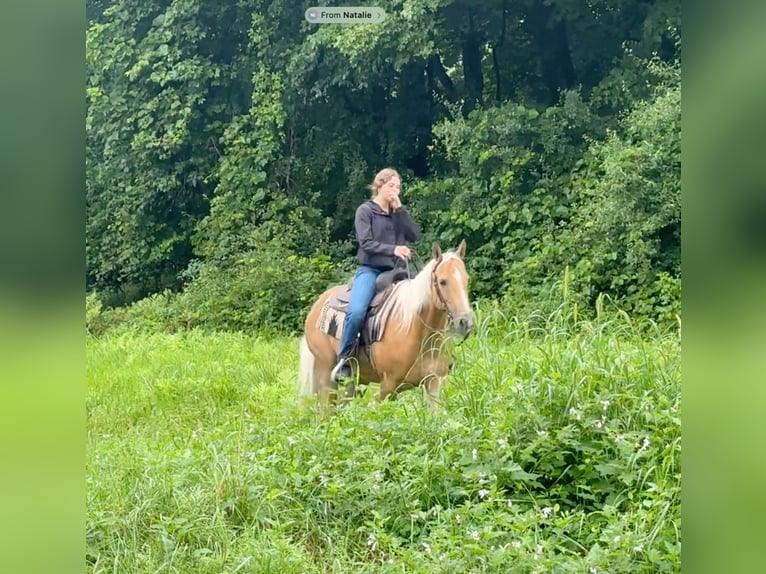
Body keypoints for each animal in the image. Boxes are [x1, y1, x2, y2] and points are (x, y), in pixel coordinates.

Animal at [298, 241, 474, 416]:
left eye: (467, 280)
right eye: (443, 281)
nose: (465, 322)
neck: (416, 332)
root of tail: (318, 303)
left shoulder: (433, 381)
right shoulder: (388, 387)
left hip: (356, 381)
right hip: (326, 375)